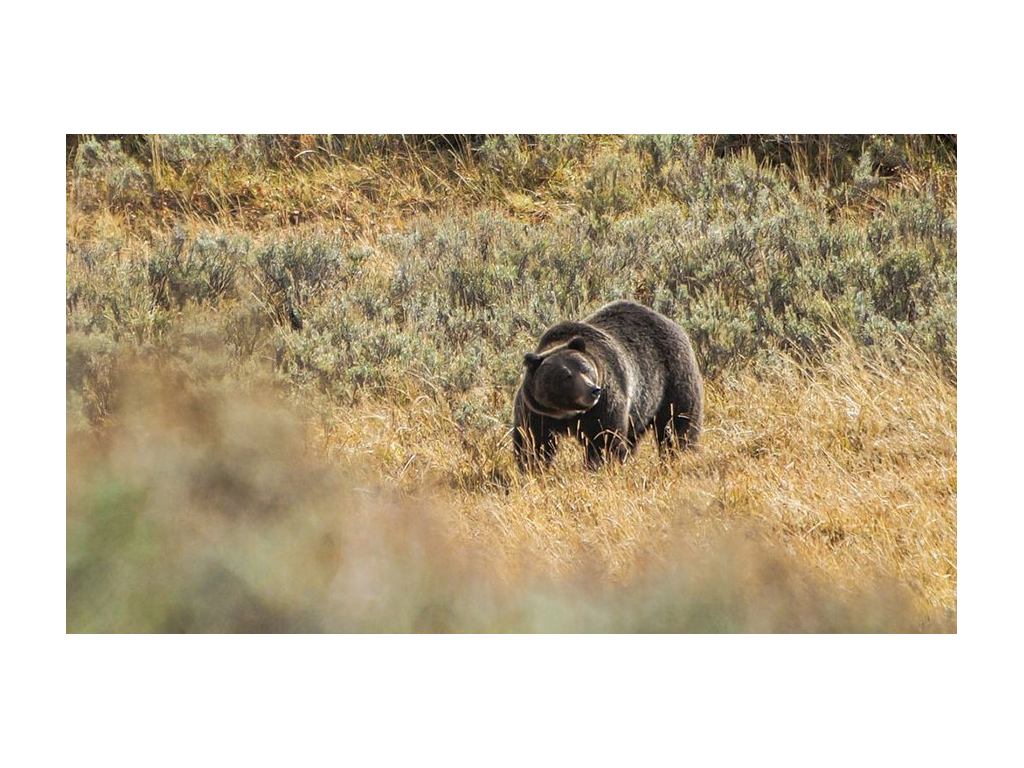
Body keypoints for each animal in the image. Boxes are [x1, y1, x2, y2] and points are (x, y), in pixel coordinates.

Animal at [513, 300, 703, 470]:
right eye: (566, 376)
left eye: (586, 368)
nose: (593, 390)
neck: (568, 413)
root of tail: (669, 321)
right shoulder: (537, 411)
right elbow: (533, 443)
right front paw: (532, 467)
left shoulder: (604, 404)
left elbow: (605, 439)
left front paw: (601, 465)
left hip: (673, 379)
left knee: (678, 424)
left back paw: (680, 455)